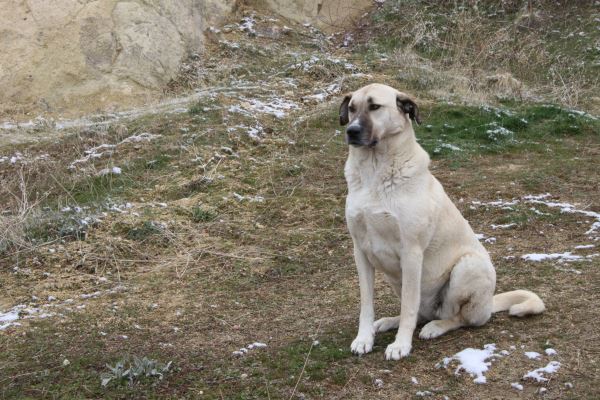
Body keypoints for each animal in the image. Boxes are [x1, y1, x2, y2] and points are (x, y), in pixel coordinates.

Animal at [340, 83, 548, 360]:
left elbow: (409, 306)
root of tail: (489, 304)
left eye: (375, 107)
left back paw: (436, 327)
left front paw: (401, 345)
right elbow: (367, 304)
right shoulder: (361, 251)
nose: (351, 131)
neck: (374, 171)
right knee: (419, 313)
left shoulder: (411, 252)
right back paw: (389, 321)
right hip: (397, 279)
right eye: (352, 108)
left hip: (467, 267)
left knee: (460, 318)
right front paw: (364, 339)